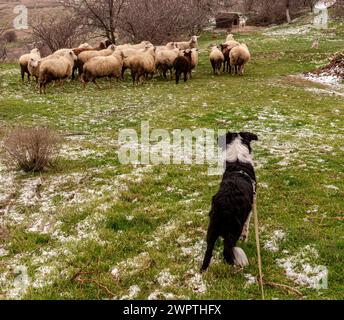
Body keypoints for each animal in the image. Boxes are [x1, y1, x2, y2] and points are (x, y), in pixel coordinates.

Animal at [202, 131, 258, 272]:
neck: (238, 161)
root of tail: (225, 206)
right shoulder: (250, 210)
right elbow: (246, 229)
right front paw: (245, 239)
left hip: (212, 229)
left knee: (208, 253)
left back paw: (203, 271)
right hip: (233, 231)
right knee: (228, 252)